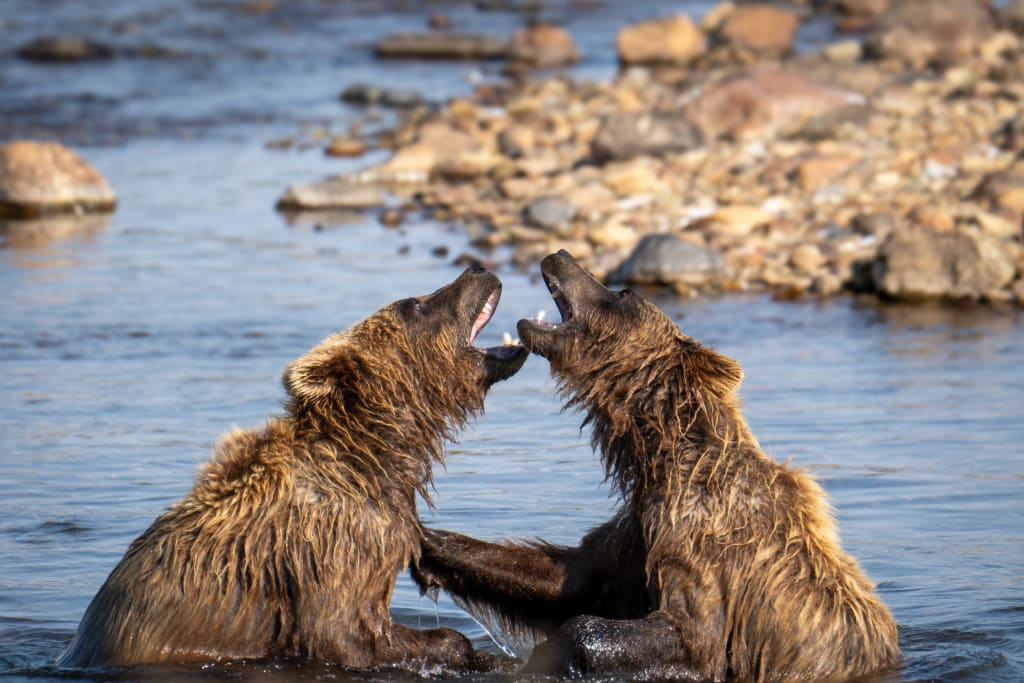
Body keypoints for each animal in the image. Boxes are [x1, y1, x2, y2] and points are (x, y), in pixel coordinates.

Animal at [57, 266, 528, 672]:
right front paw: (467, 650)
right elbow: (343, 633)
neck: (373, 455)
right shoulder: (327, 543)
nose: (476, 269)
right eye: (413, 304)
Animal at [414, 251, 902, 681]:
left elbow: (683, 634)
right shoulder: (643, 524)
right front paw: (423, 538)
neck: (658, 453)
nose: (560, 254)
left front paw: (545, 656)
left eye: (623, 291)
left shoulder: (704, 541)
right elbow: (568, 577)